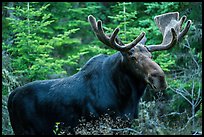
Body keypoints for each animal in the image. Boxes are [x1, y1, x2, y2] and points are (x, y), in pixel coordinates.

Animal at [6, 12, 191, 135]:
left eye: (151, 56)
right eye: (132, 57)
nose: (160, 78)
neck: (127, 97)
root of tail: (10, 97)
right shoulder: (99, 124)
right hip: (26, 131)